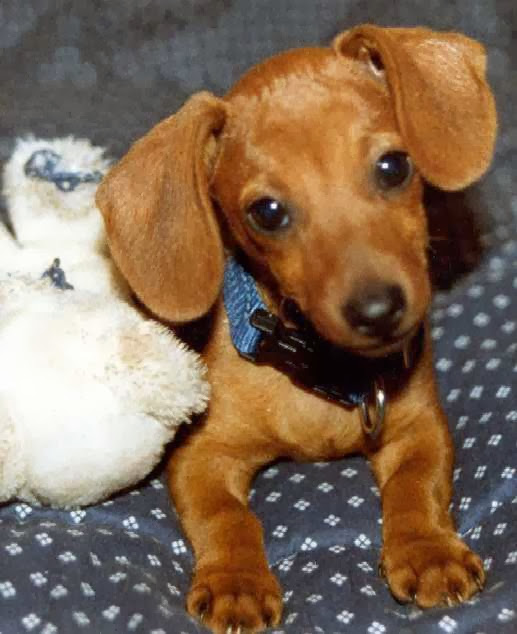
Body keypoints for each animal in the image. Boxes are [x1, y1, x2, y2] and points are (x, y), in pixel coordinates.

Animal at [95, 24, 496, 632]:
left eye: (394, 166)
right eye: (267, 212)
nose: (378, 311)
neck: (316, 366)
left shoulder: (420, 428)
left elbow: (416, 487)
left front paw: (429, 550)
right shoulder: (201, 457)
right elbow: (228, 518)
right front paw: (236, 580)